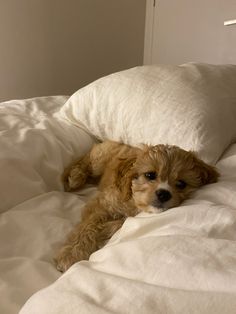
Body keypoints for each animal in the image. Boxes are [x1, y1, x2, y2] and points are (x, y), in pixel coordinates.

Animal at [54, 141, 218, 272]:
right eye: (150, 175)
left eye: (181, 184)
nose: (163, 194)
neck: (134, 203)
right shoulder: (102, 205)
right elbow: (88, 228)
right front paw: (71, 254)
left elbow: (117, 223)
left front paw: (107, 228)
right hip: (99, 160)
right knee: (86, 159)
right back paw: (75, 176)